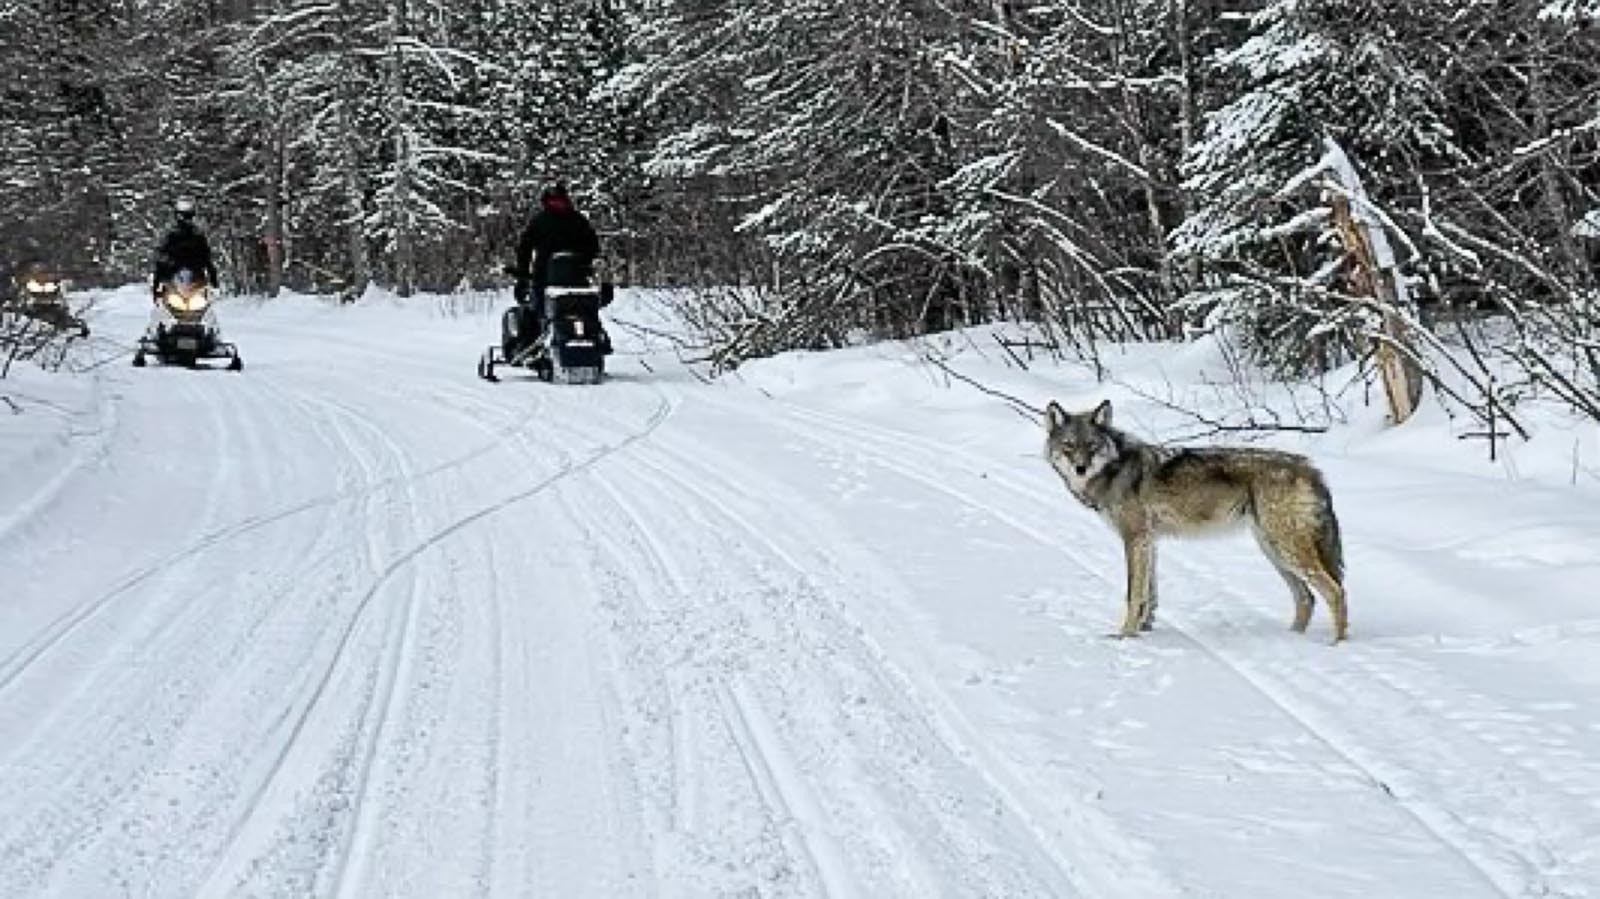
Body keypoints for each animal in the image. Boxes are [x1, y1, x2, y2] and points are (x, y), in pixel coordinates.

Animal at [1043, 396, 1344, 636]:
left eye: (1091, 445)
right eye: (1069, 446)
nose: (1080, 468)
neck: (1114, 469)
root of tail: (1312, 469)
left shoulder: (1135, 539)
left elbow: (1133, 594)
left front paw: (1125, 636)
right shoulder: (1149, 542)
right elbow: (1149, 596)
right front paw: (1143, 629)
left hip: (1286, 550)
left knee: (1335, 591)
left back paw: (1336, 644)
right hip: (1274, 552)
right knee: (1306, 598)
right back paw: (1293, 639)